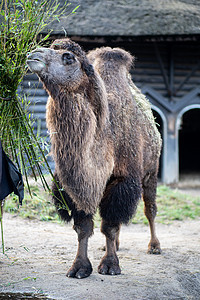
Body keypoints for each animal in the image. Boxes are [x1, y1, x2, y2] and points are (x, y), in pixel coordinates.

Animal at [26, 38, 162, 278]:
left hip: (151, 171)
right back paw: (117, 245)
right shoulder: (73, 186)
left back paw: (154, 246)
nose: (34, 53)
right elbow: (83, 227)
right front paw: (79, 267)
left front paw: (110, 265)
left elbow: (109, 225)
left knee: (150, 209)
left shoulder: (123, 180)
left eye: (68, 57)